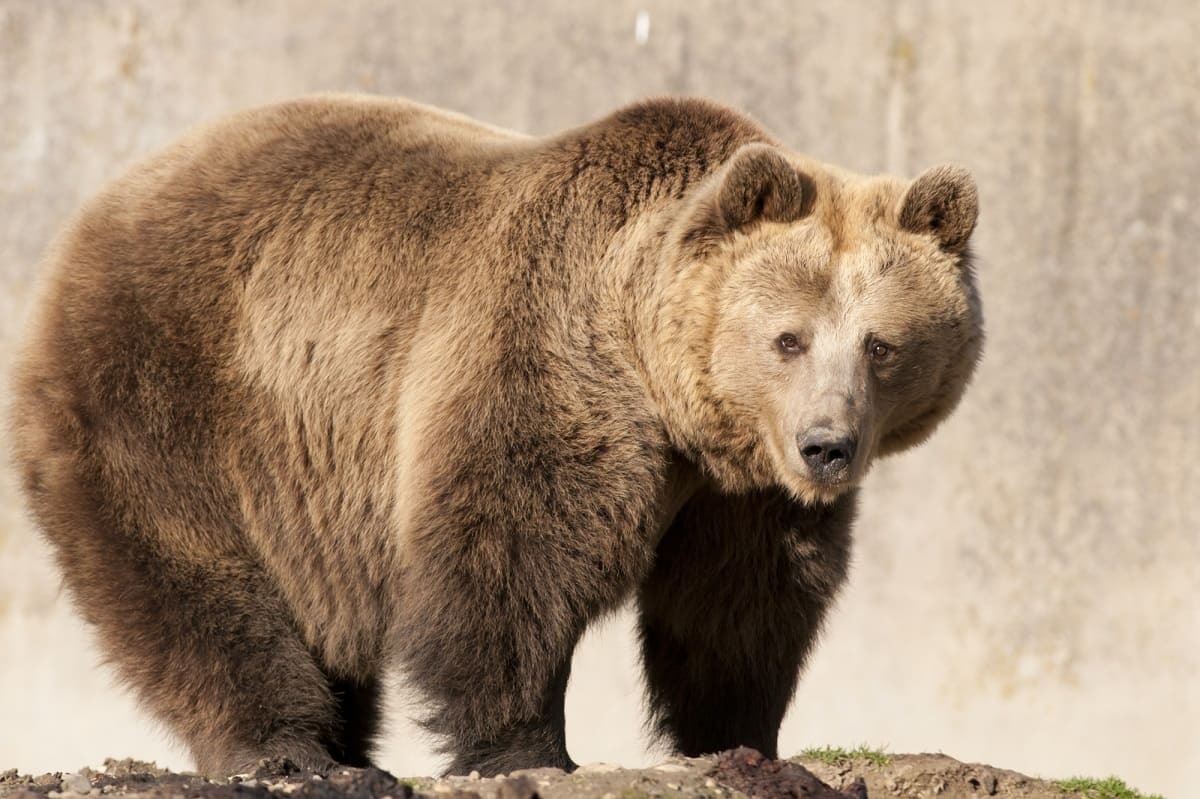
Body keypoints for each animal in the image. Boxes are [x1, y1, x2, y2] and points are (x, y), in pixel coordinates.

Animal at [9, 94, 981, 777]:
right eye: (789, 337)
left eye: (882, 343)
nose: (827, 445)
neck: (661, 382)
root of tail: (94, 213)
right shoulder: (543, 359)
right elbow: (510, 554)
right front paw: (528, 746)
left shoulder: (735, 490)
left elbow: (737, 602)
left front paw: (737, 735)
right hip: (171, 393)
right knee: (196, 573)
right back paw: (283, 745)